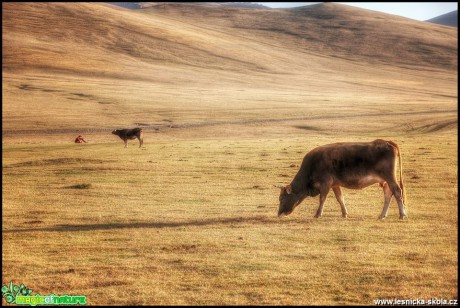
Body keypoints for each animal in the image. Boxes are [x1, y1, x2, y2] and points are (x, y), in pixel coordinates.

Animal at [276, 140, 406, 219]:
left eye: (281, 198)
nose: (278, 213)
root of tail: (387, 142)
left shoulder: (325, 184)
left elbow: (322, 199)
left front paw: (318, 214)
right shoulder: (334, 184)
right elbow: (340, 198)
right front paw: (344, 213)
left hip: (390, 178)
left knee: (397, 191)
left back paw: (402, 214)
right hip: (385, 181)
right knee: (388, 194)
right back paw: (382, 215)